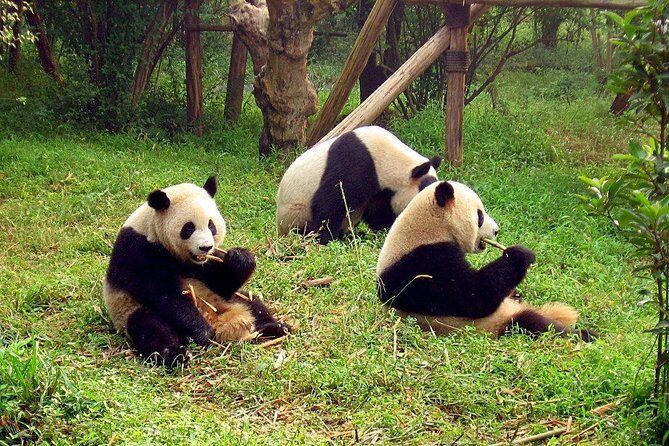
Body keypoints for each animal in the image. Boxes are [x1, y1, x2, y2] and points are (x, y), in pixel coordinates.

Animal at [103, 177, 290, 367]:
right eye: (189, 228)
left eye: (211, 225)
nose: (205, 247)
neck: (152, 229)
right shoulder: (137, 251)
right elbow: (165, 295)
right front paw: (202, 332)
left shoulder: (204, 264)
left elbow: (222, 283)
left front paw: (240, 258)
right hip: (128, 309)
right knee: (151, 328)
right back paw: (176, 355)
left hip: (227, 299)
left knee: (253, 303)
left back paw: (276, 328)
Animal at [276, 126, 442, 244]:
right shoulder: (355, 163)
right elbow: (331, 202)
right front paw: (323, 238)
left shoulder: (381, 189)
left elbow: (378, 210)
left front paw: (388, 229)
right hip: (295, 211)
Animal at [376, 180, 595, 341]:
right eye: (480, 216)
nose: (496, 230)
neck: (428, 227)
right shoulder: (423, 263)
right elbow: (474, 296)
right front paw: (519, 255)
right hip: (499, 322)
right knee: (534, 324)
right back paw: (584, 334)